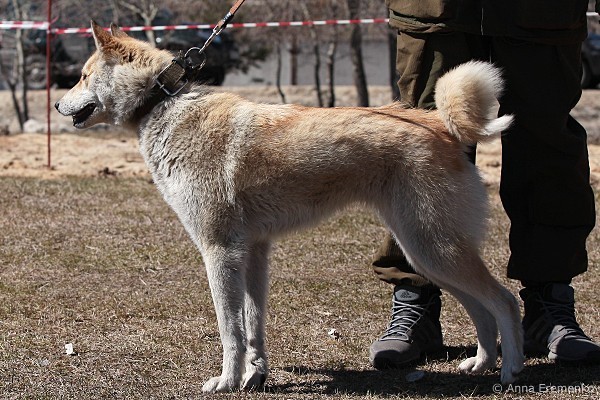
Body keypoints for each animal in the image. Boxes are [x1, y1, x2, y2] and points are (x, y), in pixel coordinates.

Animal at [55, 21, 524, 393]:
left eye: (82, 76)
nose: (58, 104)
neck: (162, 104)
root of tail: (440, 124)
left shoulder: (219, 252)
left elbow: (230, 329)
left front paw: (227, 381)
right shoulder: (253, 252)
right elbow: (253, 325)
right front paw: (254, 376)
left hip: (433, 248)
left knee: (504, 301)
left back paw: (512, 370)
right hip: (427, 253)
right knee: (481, 310)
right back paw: (481, 363)